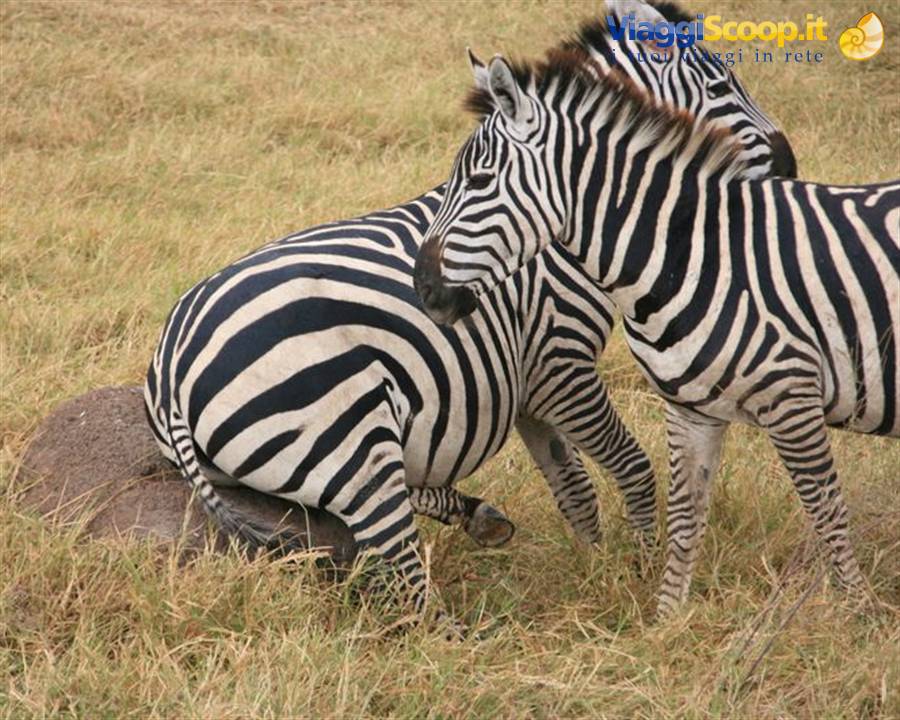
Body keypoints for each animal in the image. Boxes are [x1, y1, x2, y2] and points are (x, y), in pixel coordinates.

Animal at [146, 1, 797, 620]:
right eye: (722, 83)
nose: (790, 163)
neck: (556, 215)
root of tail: (173, 367)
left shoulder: (525, 386)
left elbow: (573, 487)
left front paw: (594, 563)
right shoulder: (559, 363)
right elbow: (631, 466)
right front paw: (638, 564)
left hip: (285, 465)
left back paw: (477, 520)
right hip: (348, 439)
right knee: (400, 570)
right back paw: (457, 637)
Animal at [413, 43, 899, 618]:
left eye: (479, 182)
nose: (423, 288)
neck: (692, 256)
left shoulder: (791, 397)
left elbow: (826, 514)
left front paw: (859, 612)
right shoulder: (686, 407)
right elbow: (684, 515)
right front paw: (667, 618)